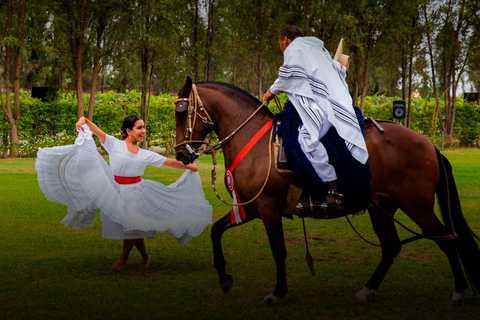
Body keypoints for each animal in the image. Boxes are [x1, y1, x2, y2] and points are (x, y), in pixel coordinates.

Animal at [174, 76, 480, 306]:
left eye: (183, 112)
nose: (182, 154)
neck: (254, 141)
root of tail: (429, 144)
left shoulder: (268, 208)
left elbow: (278, 250)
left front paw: (277, 293)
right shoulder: (251, 206)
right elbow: (216, 231)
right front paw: (224, 278)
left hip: (416, 205)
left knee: (446, 239)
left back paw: (457, 292)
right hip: (382, 207)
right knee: (392, 246)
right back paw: (367, 291)